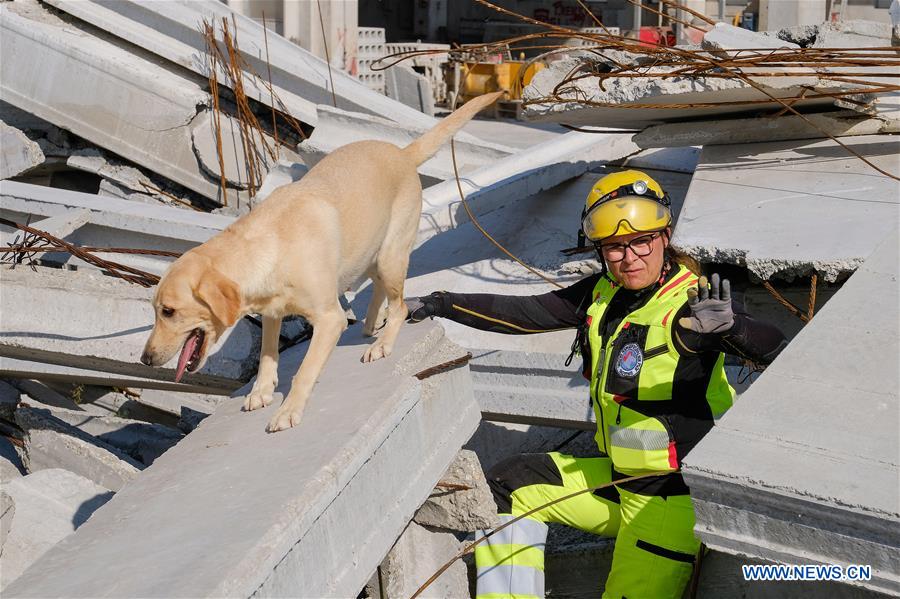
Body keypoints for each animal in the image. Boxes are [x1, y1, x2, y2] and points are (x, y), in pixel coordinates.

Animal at [144, 92, 502, 432]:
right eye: (156, 310)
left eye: (168, 311)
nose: (146, 359)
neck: (270, 244)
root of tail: (402, 153)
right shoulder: (272, 312)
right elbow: (267, 354)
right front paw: (261, 391)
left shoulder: (329, 320)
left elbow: (303, 371)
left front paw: (288, 411)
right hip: (368, 252)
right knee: (380, 290)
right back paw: (372, 322)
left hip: (389, 256)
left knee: (400, 305)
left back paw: (382, 343)